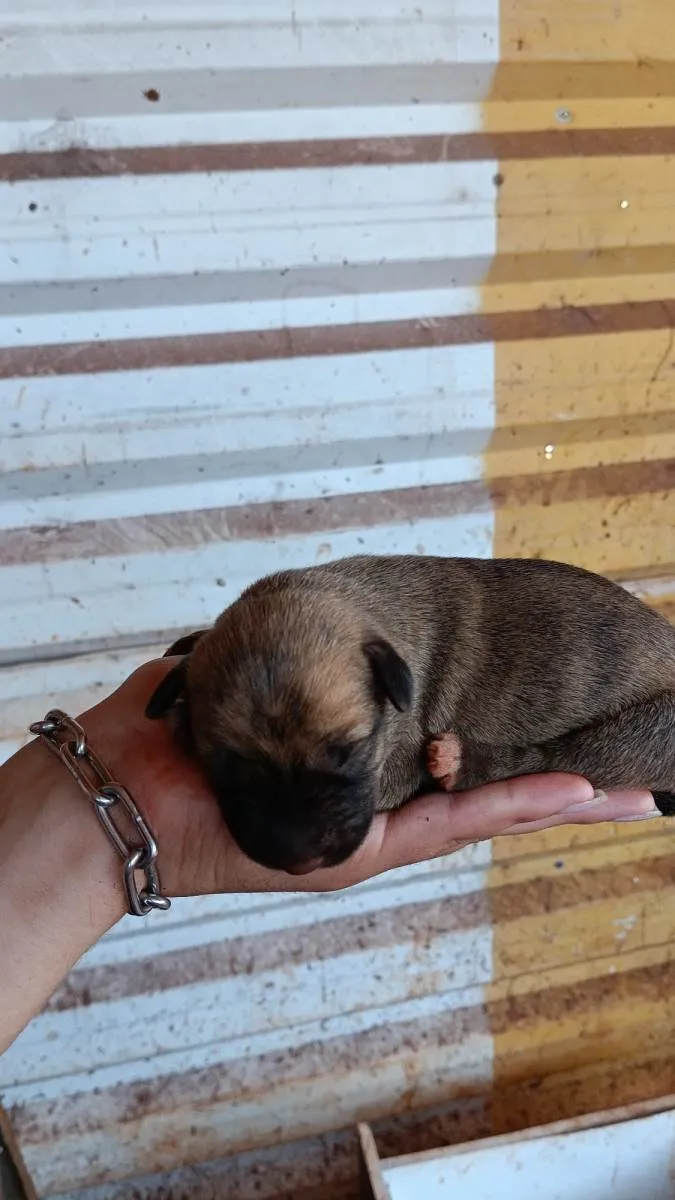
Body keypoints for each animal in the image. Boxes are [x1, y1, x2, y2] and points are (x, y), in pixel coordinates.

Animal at [142, 556, 672, 878]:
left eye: (349, 752)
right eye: (223, 767)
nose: (298, 861)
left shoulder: (395, 766)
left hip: (647, 730)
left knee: (564, 755)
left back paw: (463, 761)